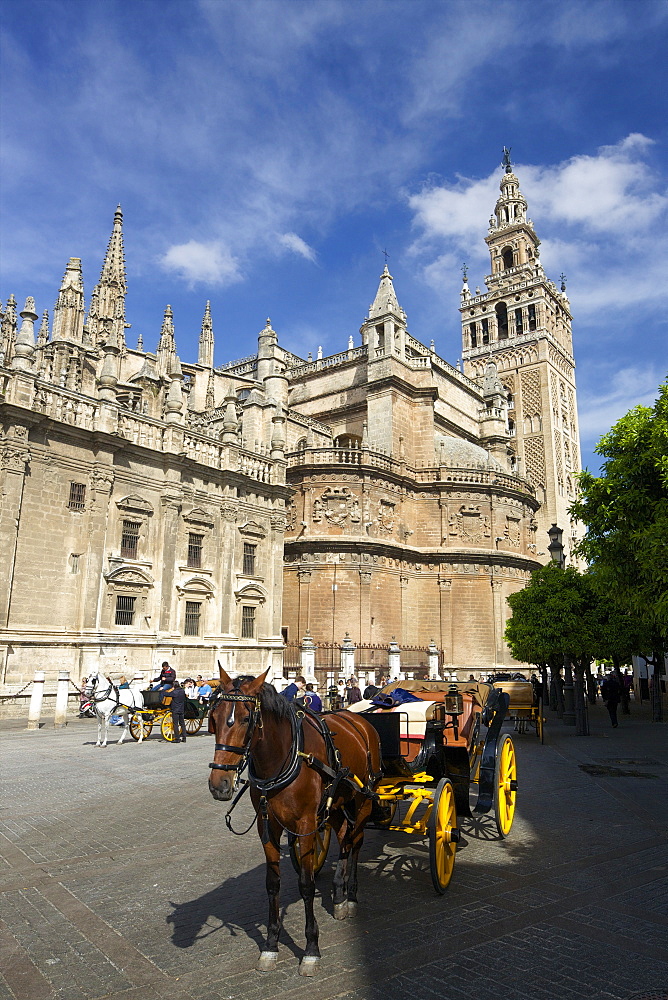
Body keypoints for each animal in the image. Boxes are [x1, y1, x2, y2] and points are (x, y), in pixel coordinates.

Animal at [209, 668, 386, 972]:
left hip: (363, 799)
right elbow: (272, 883)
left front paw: (311, 948)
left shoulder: (305, 825)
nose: (218, 783)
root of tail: (357, 718)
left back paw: (351, 896)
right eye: (215, 717)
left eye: (246, 719)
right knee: (344, 838)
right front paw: (270, 945)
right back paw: (338, 895)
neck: (280, 758)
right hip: (336, 804)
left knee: (356, 841)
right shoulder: (267, 825)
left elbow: (306, 884)